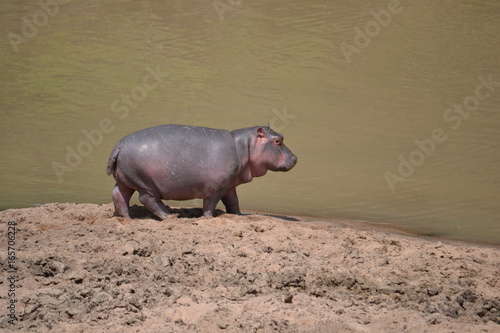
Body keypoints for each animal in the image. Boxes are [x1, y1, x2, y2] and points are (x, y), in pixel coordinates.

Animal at [106, 124, 296, 218]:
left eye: (281, 137)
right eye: (278, 141)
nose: (295, 158)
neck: (244, 147)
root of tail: (119, 146)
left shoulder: (229, 185)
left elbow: (233, 201)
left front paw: (239, 215)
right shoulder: (215, 187)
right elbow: (211, 204)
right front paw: (208, 218)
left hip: (126, 179)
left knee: (119, 195)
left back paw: (125, 217)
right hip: (145, 183)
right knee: (147, 199)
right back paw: (169, 216)